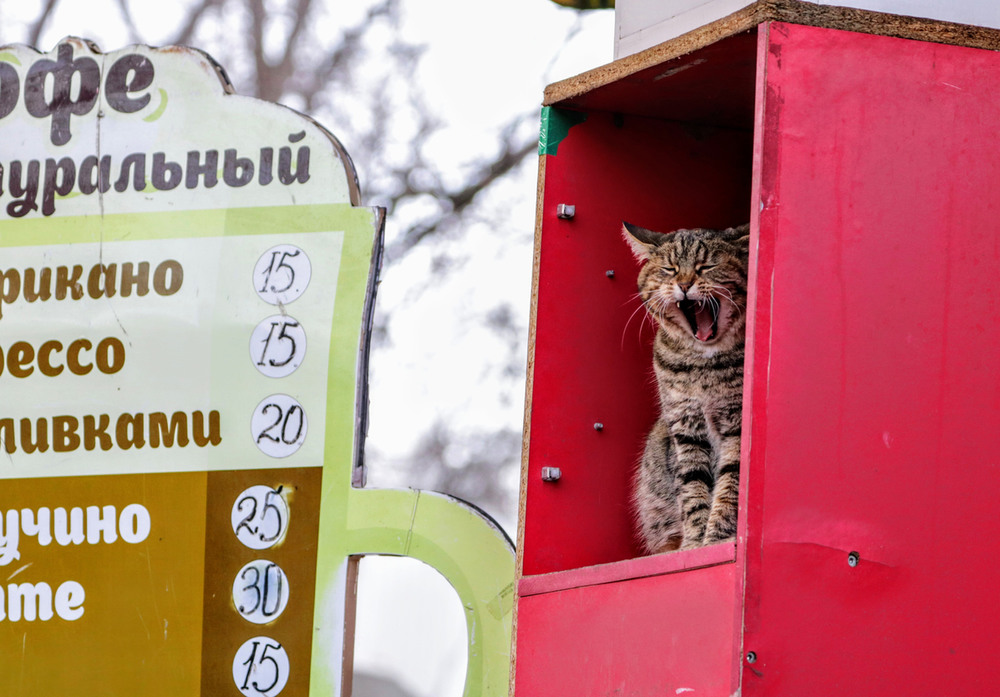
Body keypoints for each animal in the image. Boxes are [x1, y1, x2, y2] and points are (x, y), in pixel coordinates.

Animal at [624, 220, 752, 552]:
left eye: (706, 266)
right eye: (669, 269)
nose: (683, 284)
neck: (703, 363)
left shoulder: (737, 424)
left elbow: (730, 482)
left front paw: (717, 537)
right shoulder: (686, 425)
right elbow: (693, 486)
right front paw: (695, 542)